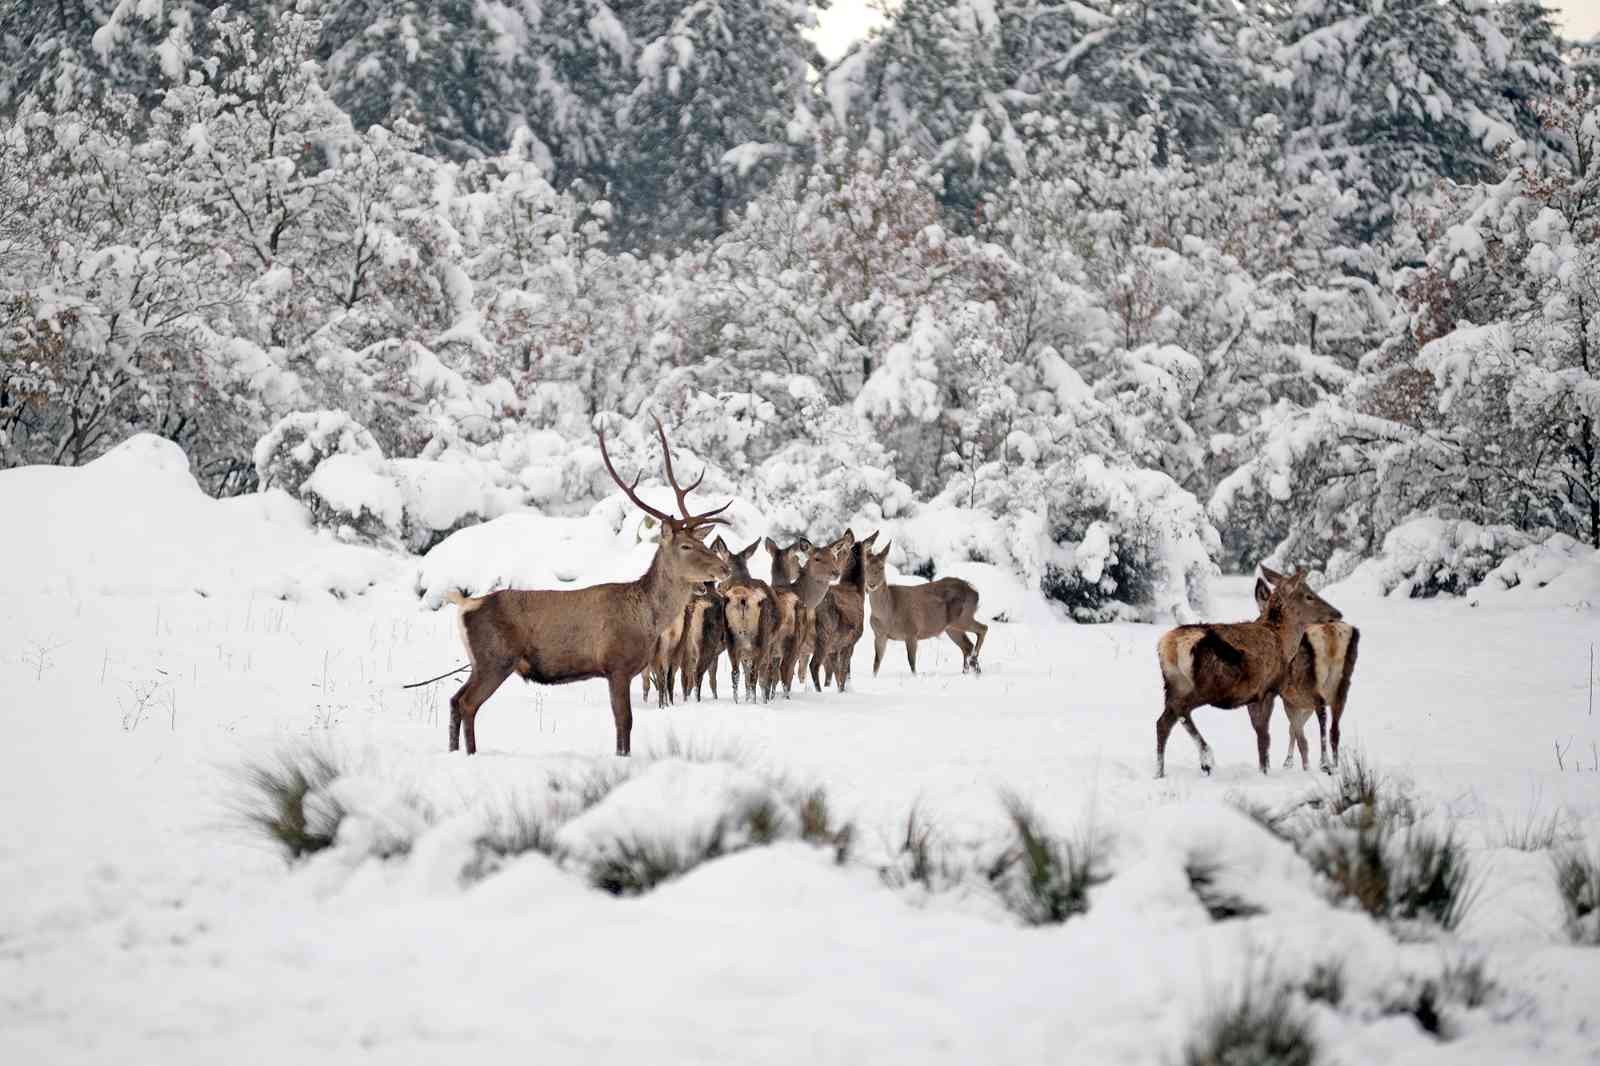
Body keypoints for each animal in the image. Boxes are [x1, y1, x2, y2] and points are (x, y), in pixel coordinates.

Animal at [444, 416, 732, 755]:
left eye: (701, 542)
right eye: (686, 546)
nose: (724, 568)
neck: (647, 618)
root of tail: (465, 604)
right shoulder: (616, 665)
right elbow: (624, 722)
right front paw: (622, 756)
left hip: (478, 662)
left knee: (454, 700)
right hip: (495, 658)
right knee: (467, 703)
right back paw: (471, 754)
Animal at [812, 528, 876, 688]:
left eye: (836, 554)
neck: (856, 589)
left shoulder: (836, 648)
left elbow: (837, 673)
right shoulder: (850, 642)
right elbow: (844, 673)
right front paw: (845, 689)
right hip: (826, 633)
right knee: (814, 665)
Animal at [864, 544, 985, 675]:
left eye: (881, 567)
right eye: (865, 567)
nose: (871, 584)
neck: (889, 613)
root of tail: (976, 592)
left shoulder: (912, 632)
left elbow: (912, 663)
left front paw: (915, 677)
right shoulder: (879, 635)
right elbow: (876, 664)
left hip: (963, 617)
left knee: (983, 629)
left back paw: (974, 660)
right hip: (952, 627)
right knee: (967, 645)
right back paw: (969, 670)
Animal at [1158, 569, 1344, 777]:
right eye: (1309, 596)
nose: (1337, 613)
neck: (1283, 642)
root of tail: (1170, 644)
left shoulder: (1252, 695)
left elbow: (1259, 734)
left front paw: (1264, 768)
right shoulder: (1267, 690)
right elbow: (1264, 736)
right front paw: (1265, 771)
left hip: (1173, 683)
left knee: (1163, 722)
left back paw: (1160, 772)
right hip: (1209, 685)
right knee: (1180, 710)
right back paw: (1207, 759)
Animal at [1248, 563, 1363, 771]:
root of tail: (1331, 633)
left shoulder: (1288, 696)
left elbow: (1296, 733)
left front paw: (1293, 763)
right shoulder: (1296, 699)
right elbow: (1295, 730)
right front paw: (1290, 762)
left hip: (1308, 682)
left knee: (1321, 715)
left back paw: (1324, 763)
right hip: (1342, 684)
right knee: (1334, 727)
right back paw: (1336, 765)